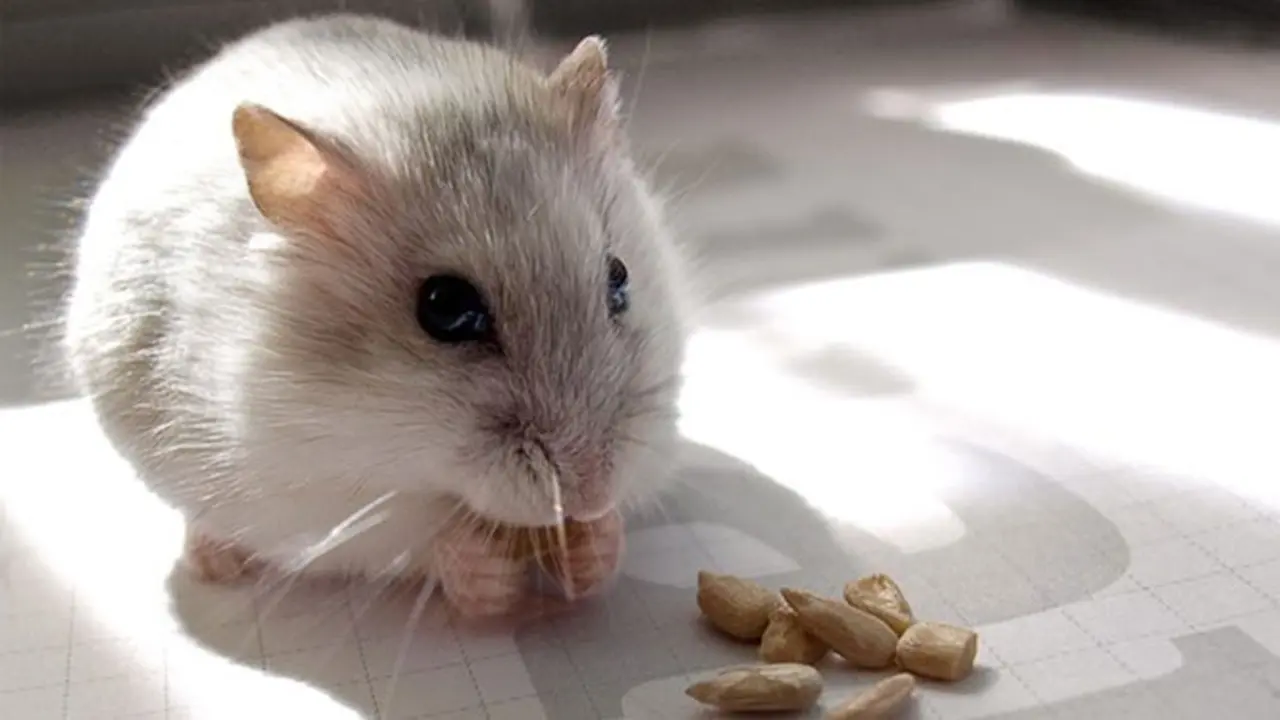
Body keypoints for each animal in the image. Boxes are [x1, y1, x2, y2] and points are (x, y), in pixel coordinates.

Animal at [62, 14, 690, 606]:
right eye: (446, 309)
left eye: (619, 278)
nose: (590, 494)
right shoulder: (311, 501)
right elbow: (416, 544)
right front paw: (490, 578)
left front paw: (594, 547)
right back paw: (214, 563)